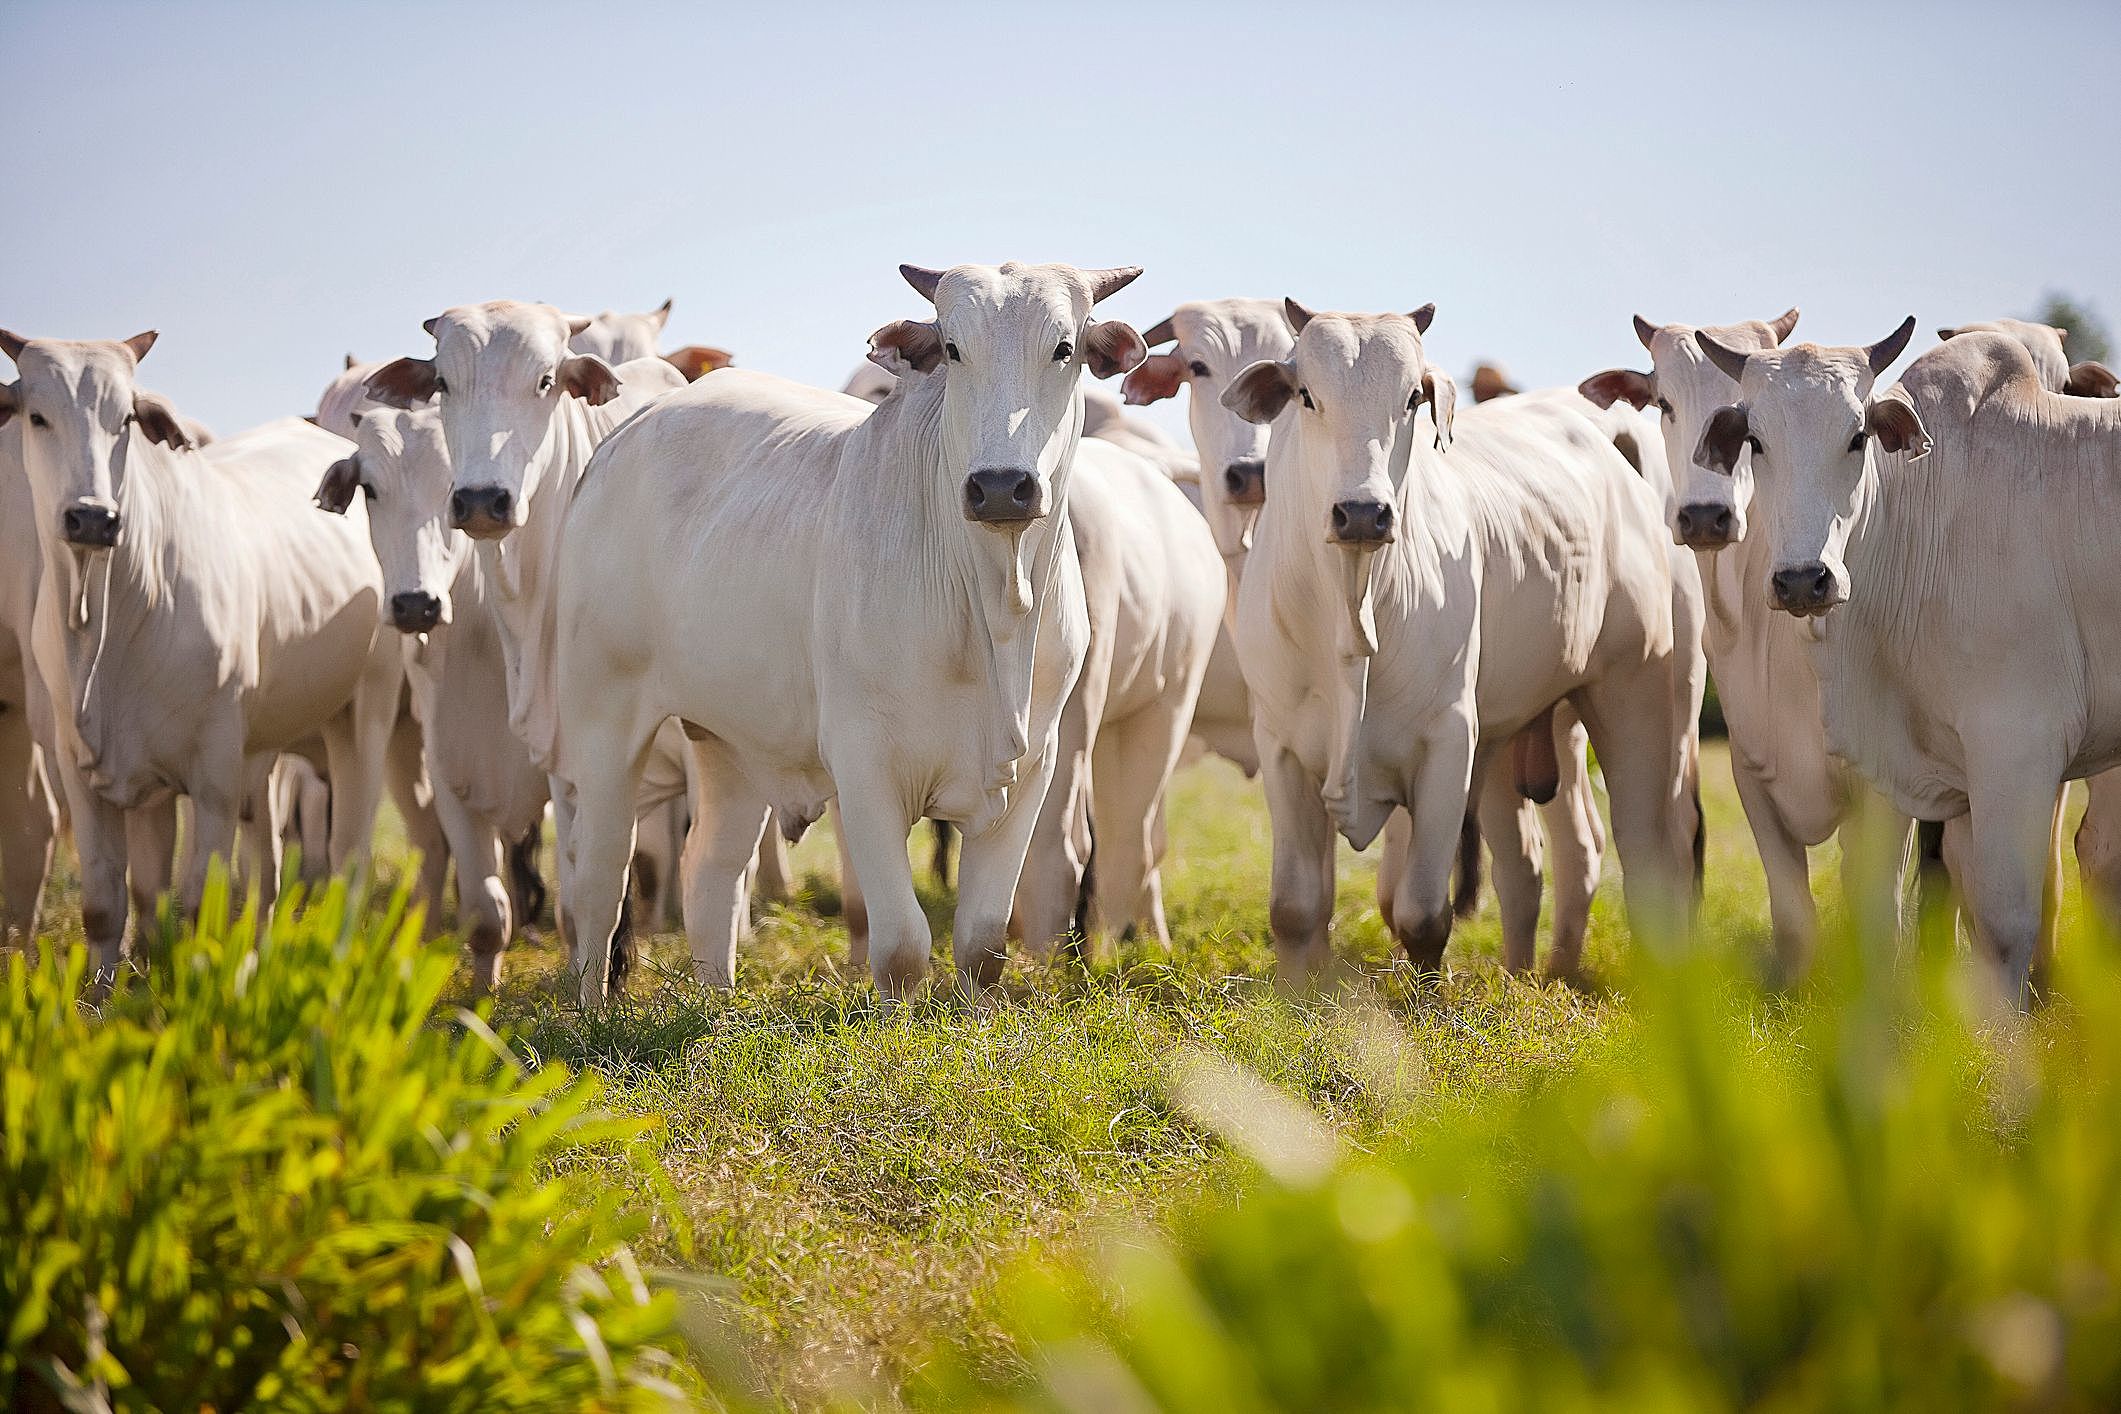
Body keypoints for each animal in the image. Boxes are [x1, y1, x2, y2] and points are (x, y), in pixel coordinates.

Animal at [2, 332, 400, 975]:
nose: (92, 517)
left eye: (126, 419)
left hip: (365, 709)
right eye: (36, 416)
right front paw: (106, 991)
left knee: (348, 857)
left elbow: (196, 907)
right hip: (262, 750)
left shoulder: (211, 777)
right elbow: (115, 906)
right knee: (266, 867)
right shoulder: (87, 771)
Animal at [364, 298, 687, 983]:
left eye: (545, 381)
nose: (483, 499)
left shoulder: (577, 754)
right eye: (442, 382)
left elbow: (582, 896)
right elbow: (494, 905)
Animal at [547, 259, 1145, 1000]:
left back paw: (716, 1004)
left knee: (709, 870)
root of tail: (625, 436)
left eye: (1064, 348)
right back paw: (591, 1007)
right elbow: (901, 947)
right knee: (598, 881)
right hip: (602, 721)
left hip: (727, 740)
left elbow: (982, 945)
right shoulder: (864, 766)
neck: (992, 609)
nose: (1002, 486)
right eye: (953, 349)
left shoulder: (1032, 766)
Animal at [1230, 305, 1688, 979]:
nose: (1362, 513)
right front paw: (1297, 994)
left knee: (1642, 853)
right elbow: (1295, 908)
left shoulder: (1448, 741)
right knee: (1538, 863)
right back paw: (1533, 976)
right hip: (1515, 734)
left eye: (1411, 398)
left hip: (1633, 696)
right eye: (1307, 395)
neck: (1352, 611)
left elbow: (1422, 915)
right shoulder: (1281, 745)